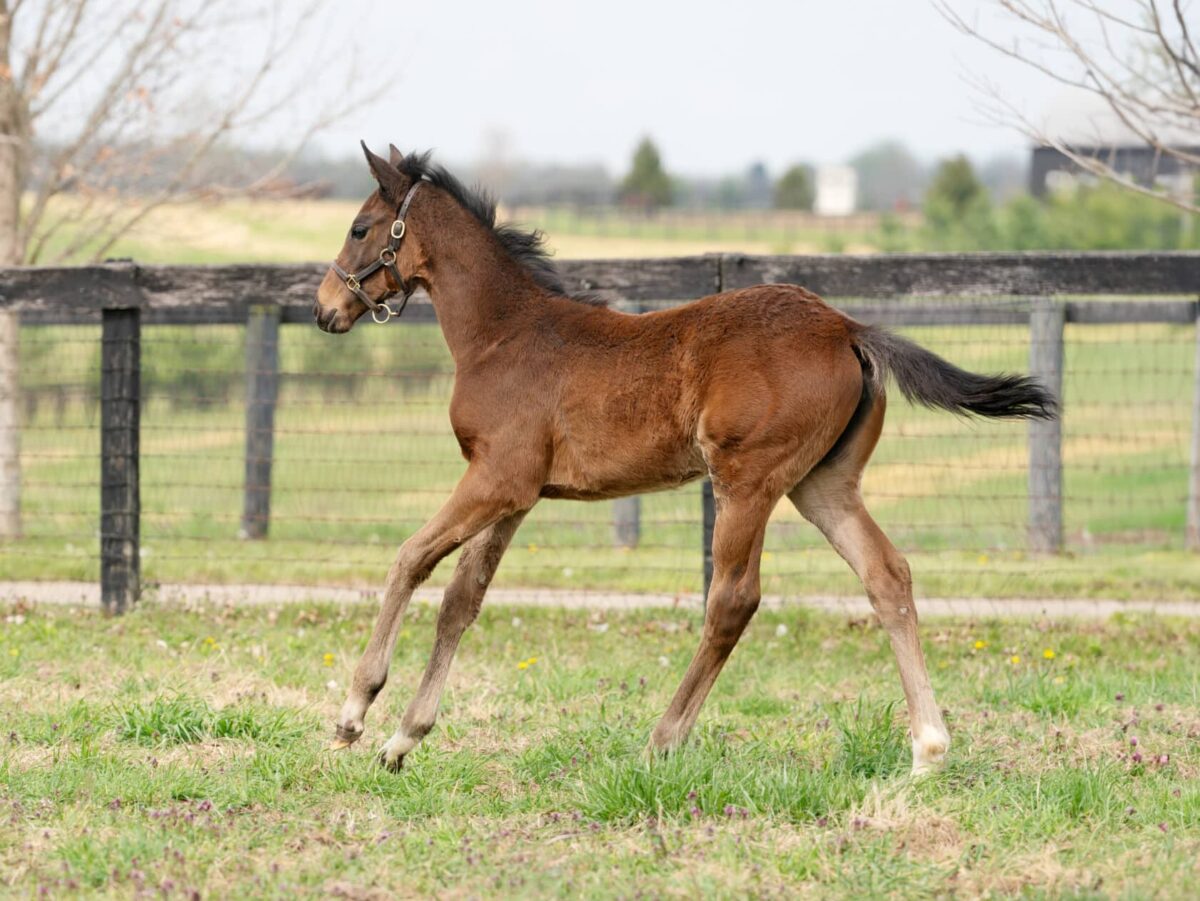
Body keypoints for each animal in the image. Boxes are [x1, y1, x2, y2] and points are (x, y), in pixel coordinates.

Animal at [314, 142, 1056, 777]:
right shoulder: (517, 496)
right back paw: (928, 749)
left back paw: (662, 738)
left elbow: (410, 558)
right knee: (887, 575)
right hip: (824, 484)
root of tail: (848, 327)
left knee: (733, 599)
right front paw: (404, 738)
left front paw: (355, 713)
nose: (325, 308)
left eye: (359, 227)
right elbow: (462, 599)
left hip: (748, 481)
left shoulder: (497, 478)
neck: (503, 336)